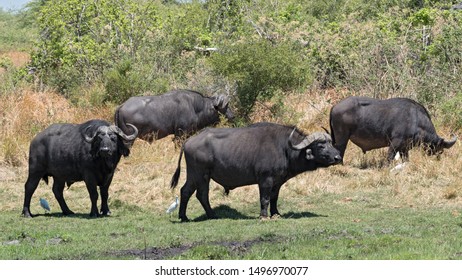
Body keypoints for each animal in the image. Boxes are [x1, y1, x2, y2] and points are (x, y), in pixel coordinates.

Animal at [171, 122, 342, 221]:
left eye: (330, 143)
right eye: (321, 145)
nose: (338, 157)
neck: (284, 148)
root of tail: (188, 141)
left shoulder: (277, 182)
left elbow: (274, 198)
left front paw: (276, 214)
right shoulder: (265, 180)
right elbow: (264, 198)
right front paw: (264, 216)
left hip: (198, 175)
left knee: (190, 192)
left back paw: (192, 216)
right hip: (200, 174)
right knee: (196, 193)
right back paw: (198, 216)